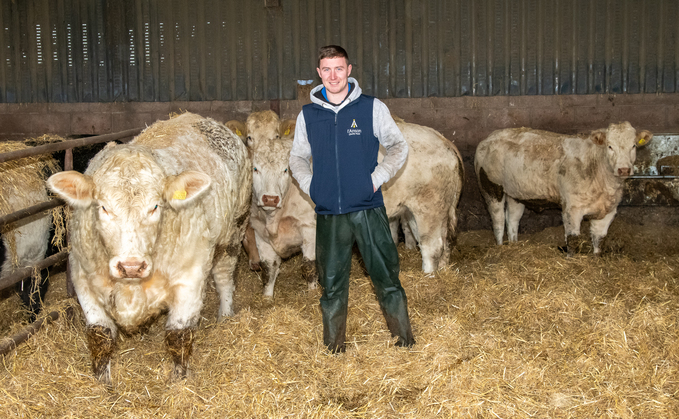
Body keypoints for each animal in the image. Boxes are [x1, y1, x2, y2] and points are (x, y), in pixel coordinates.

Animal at [47, 113, 252, 386]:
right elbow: (100, 335)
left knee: (224, 277)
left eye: (155, 206)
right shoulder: (82, 278)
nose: (131, 266)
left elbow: (179, 336)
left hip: (234, 230)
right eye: (103, 207)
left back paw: (225, 315)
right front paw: (102, 383)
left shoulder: (190, 277)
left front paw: (179, 383)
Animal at [236, 110, 464, 296]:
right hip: (425, 211)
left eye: (285, 170)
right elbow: (269, 270)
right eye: (255, 169)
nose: (270, 199)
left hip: (428, 209)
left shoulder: (309, 228)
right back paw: (443, 271)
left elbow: (309, 267)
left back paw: (428, 279)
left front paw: (312, 293)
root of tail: (442, 139)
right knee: (443, 243)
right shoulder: (260, 232)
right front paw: (267, 298)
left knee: (431, 247)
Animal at [476, 120, 652, 254]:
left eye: (633, 146)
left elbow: (599, 239)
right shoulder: (572, 209)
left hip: (516, 193)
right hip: (490, 187)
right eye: (609, 146)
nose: (624, 169)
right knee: (498, 221)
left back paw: (514, 245)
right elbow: (573, 240)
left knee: (512, 219)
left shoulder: (608, 211)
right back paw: (500, 248)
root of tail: (490, 137)